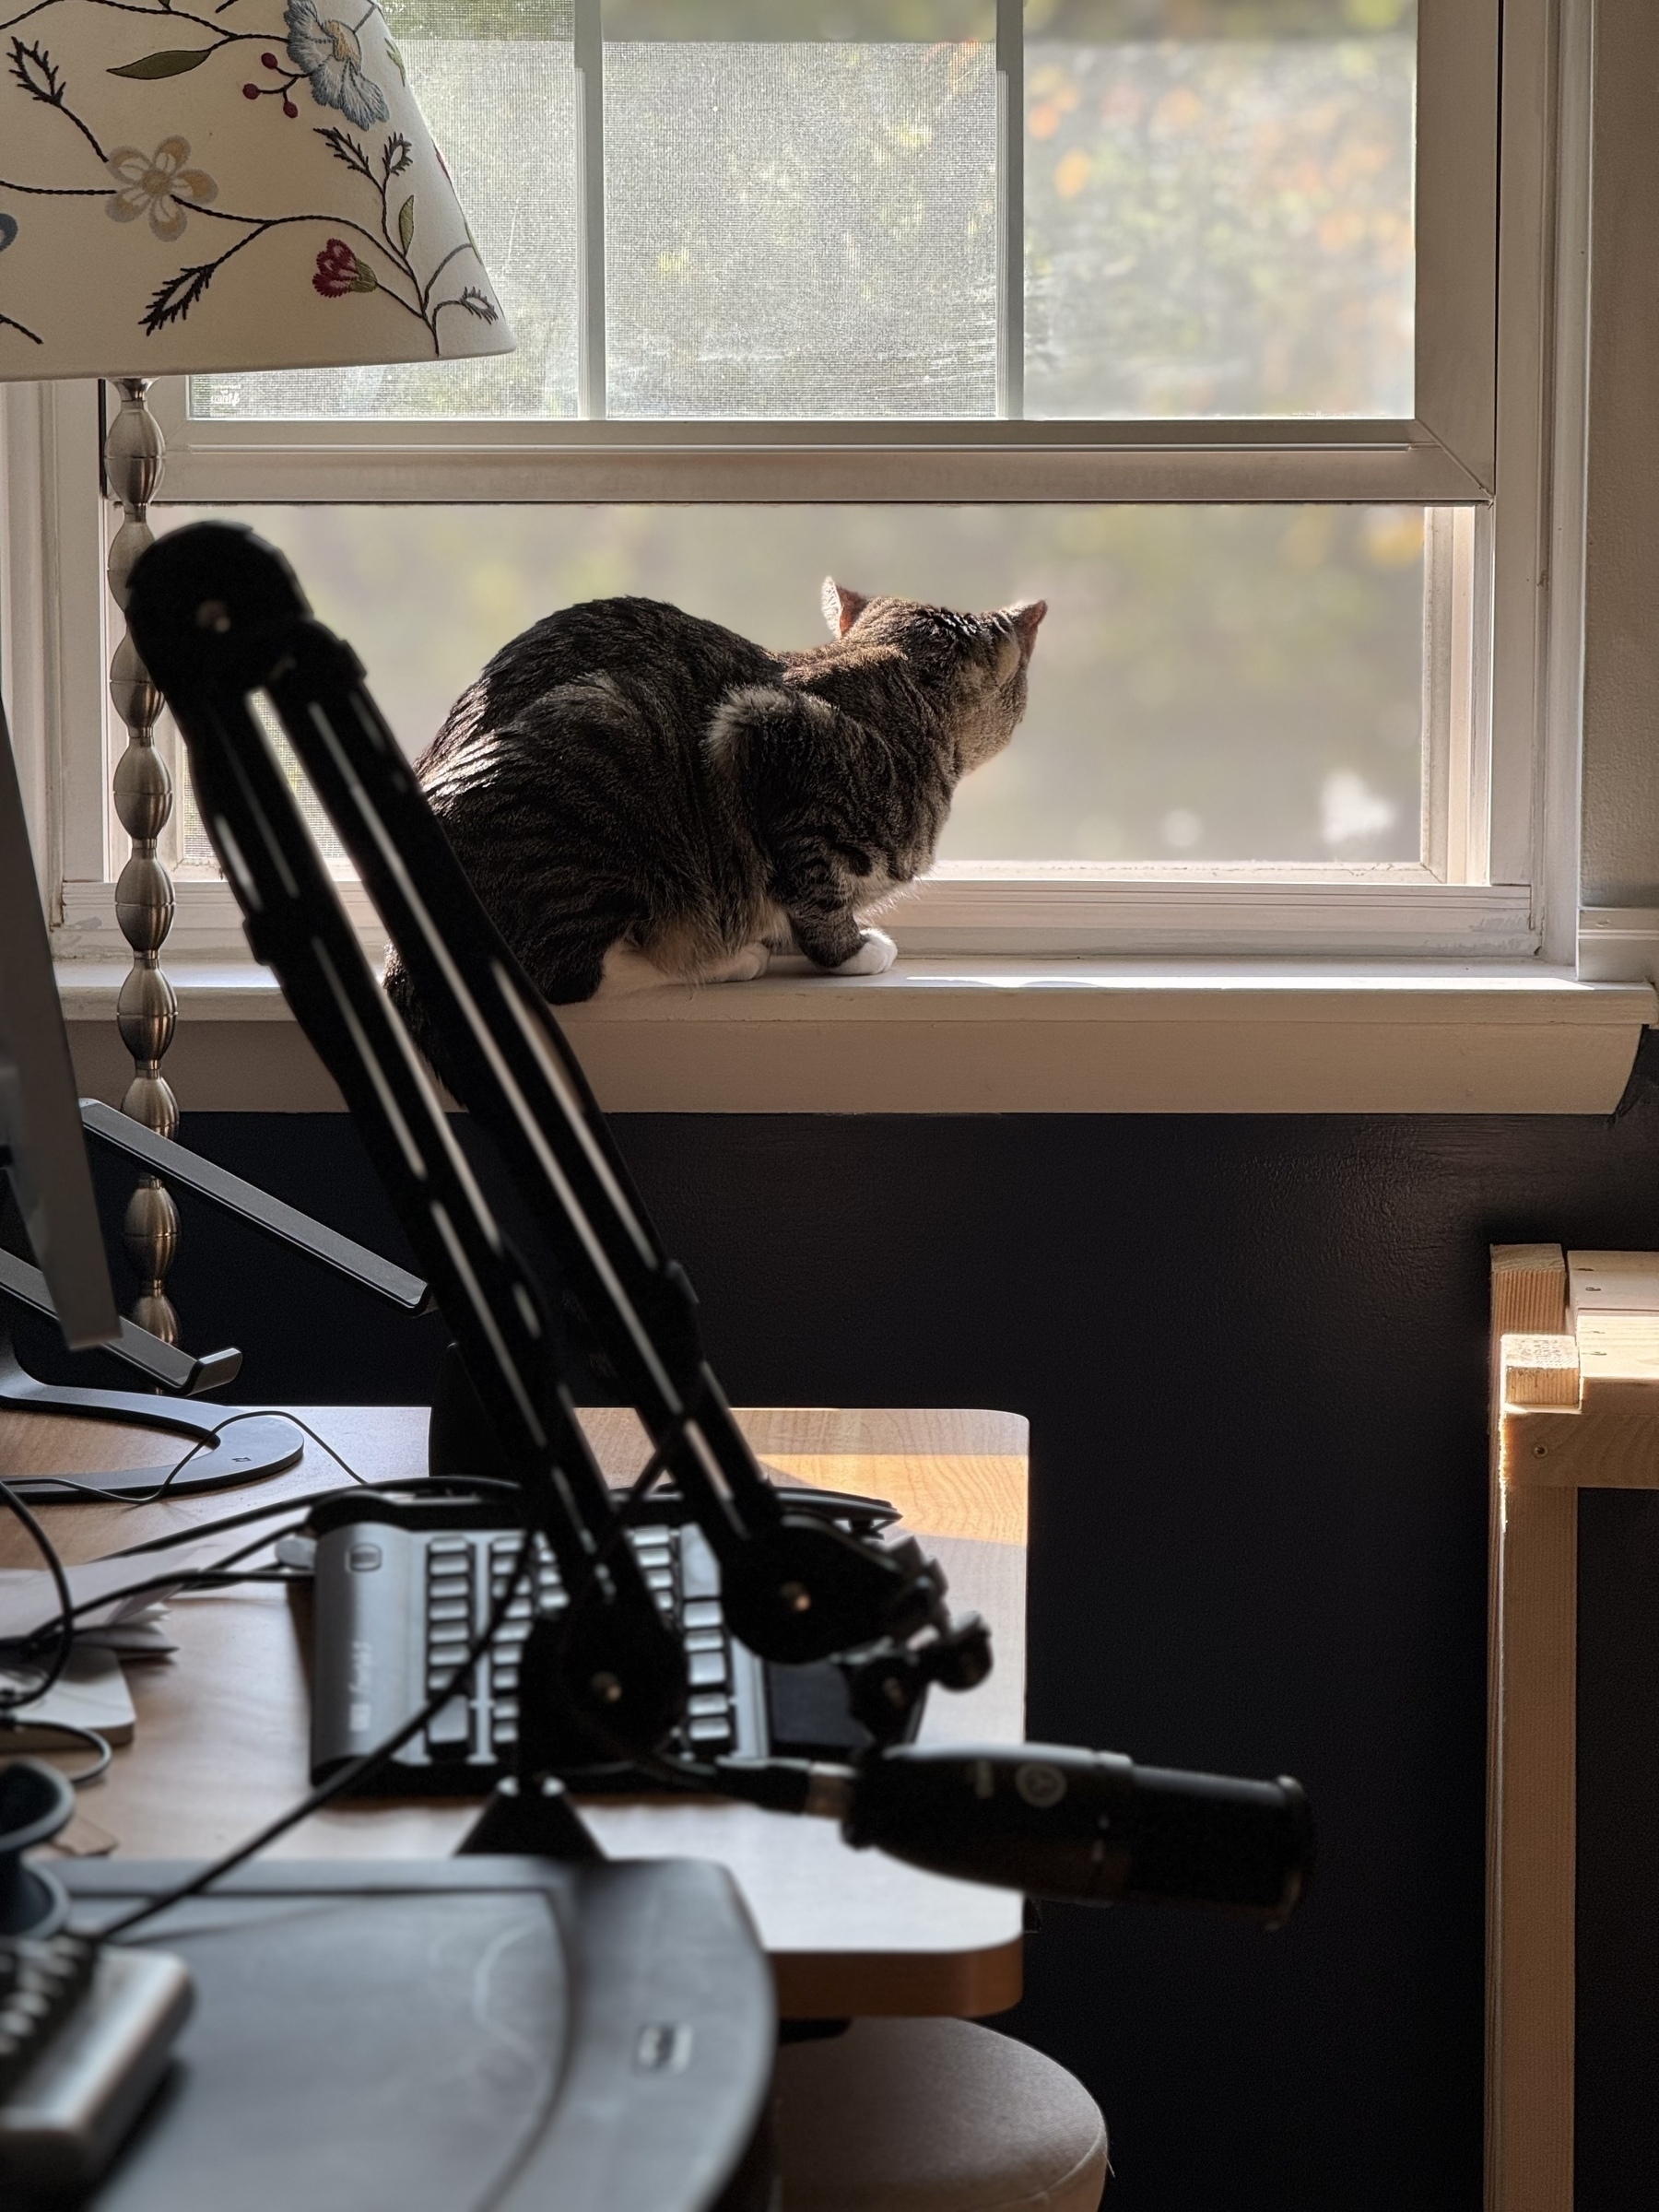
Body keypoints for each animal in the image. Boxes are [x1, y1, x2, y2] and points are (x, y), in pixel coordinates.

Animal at [382, 579, 1043, 1079]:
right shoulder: (764, 734)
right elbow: (815, 889)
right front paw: (851, 950)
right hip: (605, 751)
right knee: (568, 974)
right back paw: (720, 958)